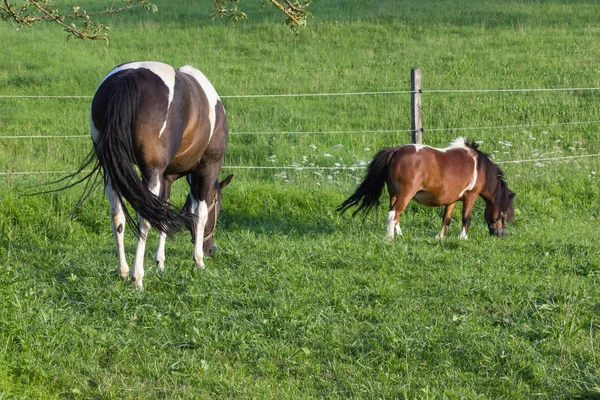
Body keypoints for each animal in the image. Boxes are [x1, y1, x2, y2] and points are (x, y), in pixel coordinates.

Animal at [90, 61, 233, 290]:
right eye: (219, 210)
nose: (210, 250)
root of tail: (130, 77)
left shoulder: (166, 176)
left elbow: (163, 213)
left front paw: (160, 262)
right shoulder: (207, 167)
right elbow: (200, 213)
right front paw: (198, 261)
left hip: (113, 170)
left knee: (117, 215)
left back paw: (123, 271)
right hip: (151, 171)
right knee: (144, 218)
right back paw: (137, 277)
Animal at [338, 139, 516, 241]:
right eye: (503, 213)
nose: (502, 234)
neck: (480, 168)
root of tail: (394, 151)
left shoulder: (451, 199)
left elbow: (446, 218)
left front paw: (440, 237)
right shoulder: (470, 197)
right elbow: (466, 218)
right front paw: (463, 238)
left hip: (394, 194)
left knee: (396, 214)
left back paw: (400, 235)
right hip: (405, 194)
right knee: (393, 214)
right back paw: (390, 238)